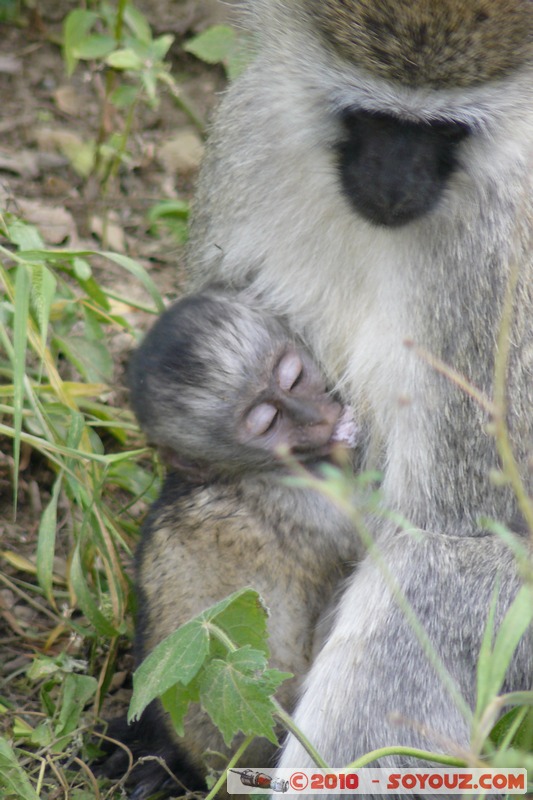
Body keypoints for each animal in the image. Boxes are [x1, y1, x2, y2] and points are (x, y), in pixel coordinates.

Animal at [186, 0, 532, 792]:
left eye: (446, 130)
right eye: (367, 115)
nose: (390, 185)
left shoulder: (494, 270)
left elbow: (447, 527)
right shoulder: (251, 128)